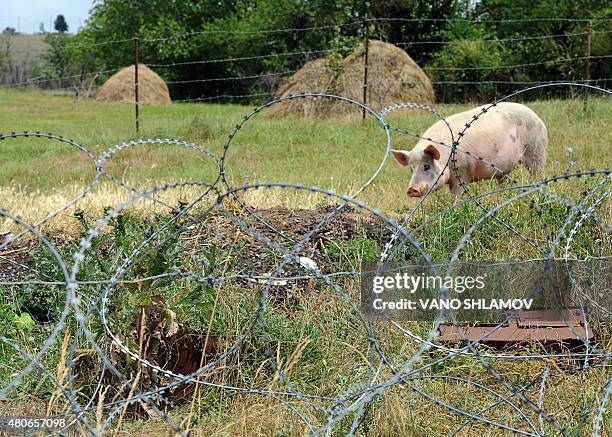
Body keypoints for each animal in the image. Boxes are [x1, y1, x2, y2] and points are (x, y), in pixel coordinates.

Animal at [394, 102, 548, 198]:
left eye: (426, 166)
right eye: (411, 169)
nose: (411, 190)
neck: (446, 156)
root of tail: (538, 118)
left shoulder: (462, 172)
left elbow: (456, 195)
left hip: (536, 150)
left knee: (538, 174)